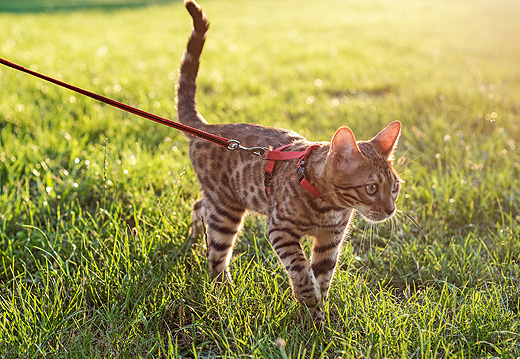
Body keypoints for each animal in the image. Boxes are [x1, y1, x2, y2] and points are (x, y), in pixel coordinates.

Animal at [175, 0, 402, 320]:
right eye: (371, 188)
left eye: (395, 187)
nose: (391, 209)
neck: (328, 205)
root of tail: (209, 127)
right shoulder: (280, 228)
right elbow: (301, 268)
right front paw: (308, 299)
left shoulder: (331, 240)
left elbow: (323, 275)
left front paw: (318, 318)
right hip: (226, 209)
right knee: (217, 253)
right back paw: (224, 294)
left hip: (221, 200)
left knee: (199, 206)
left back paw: (196, 239)